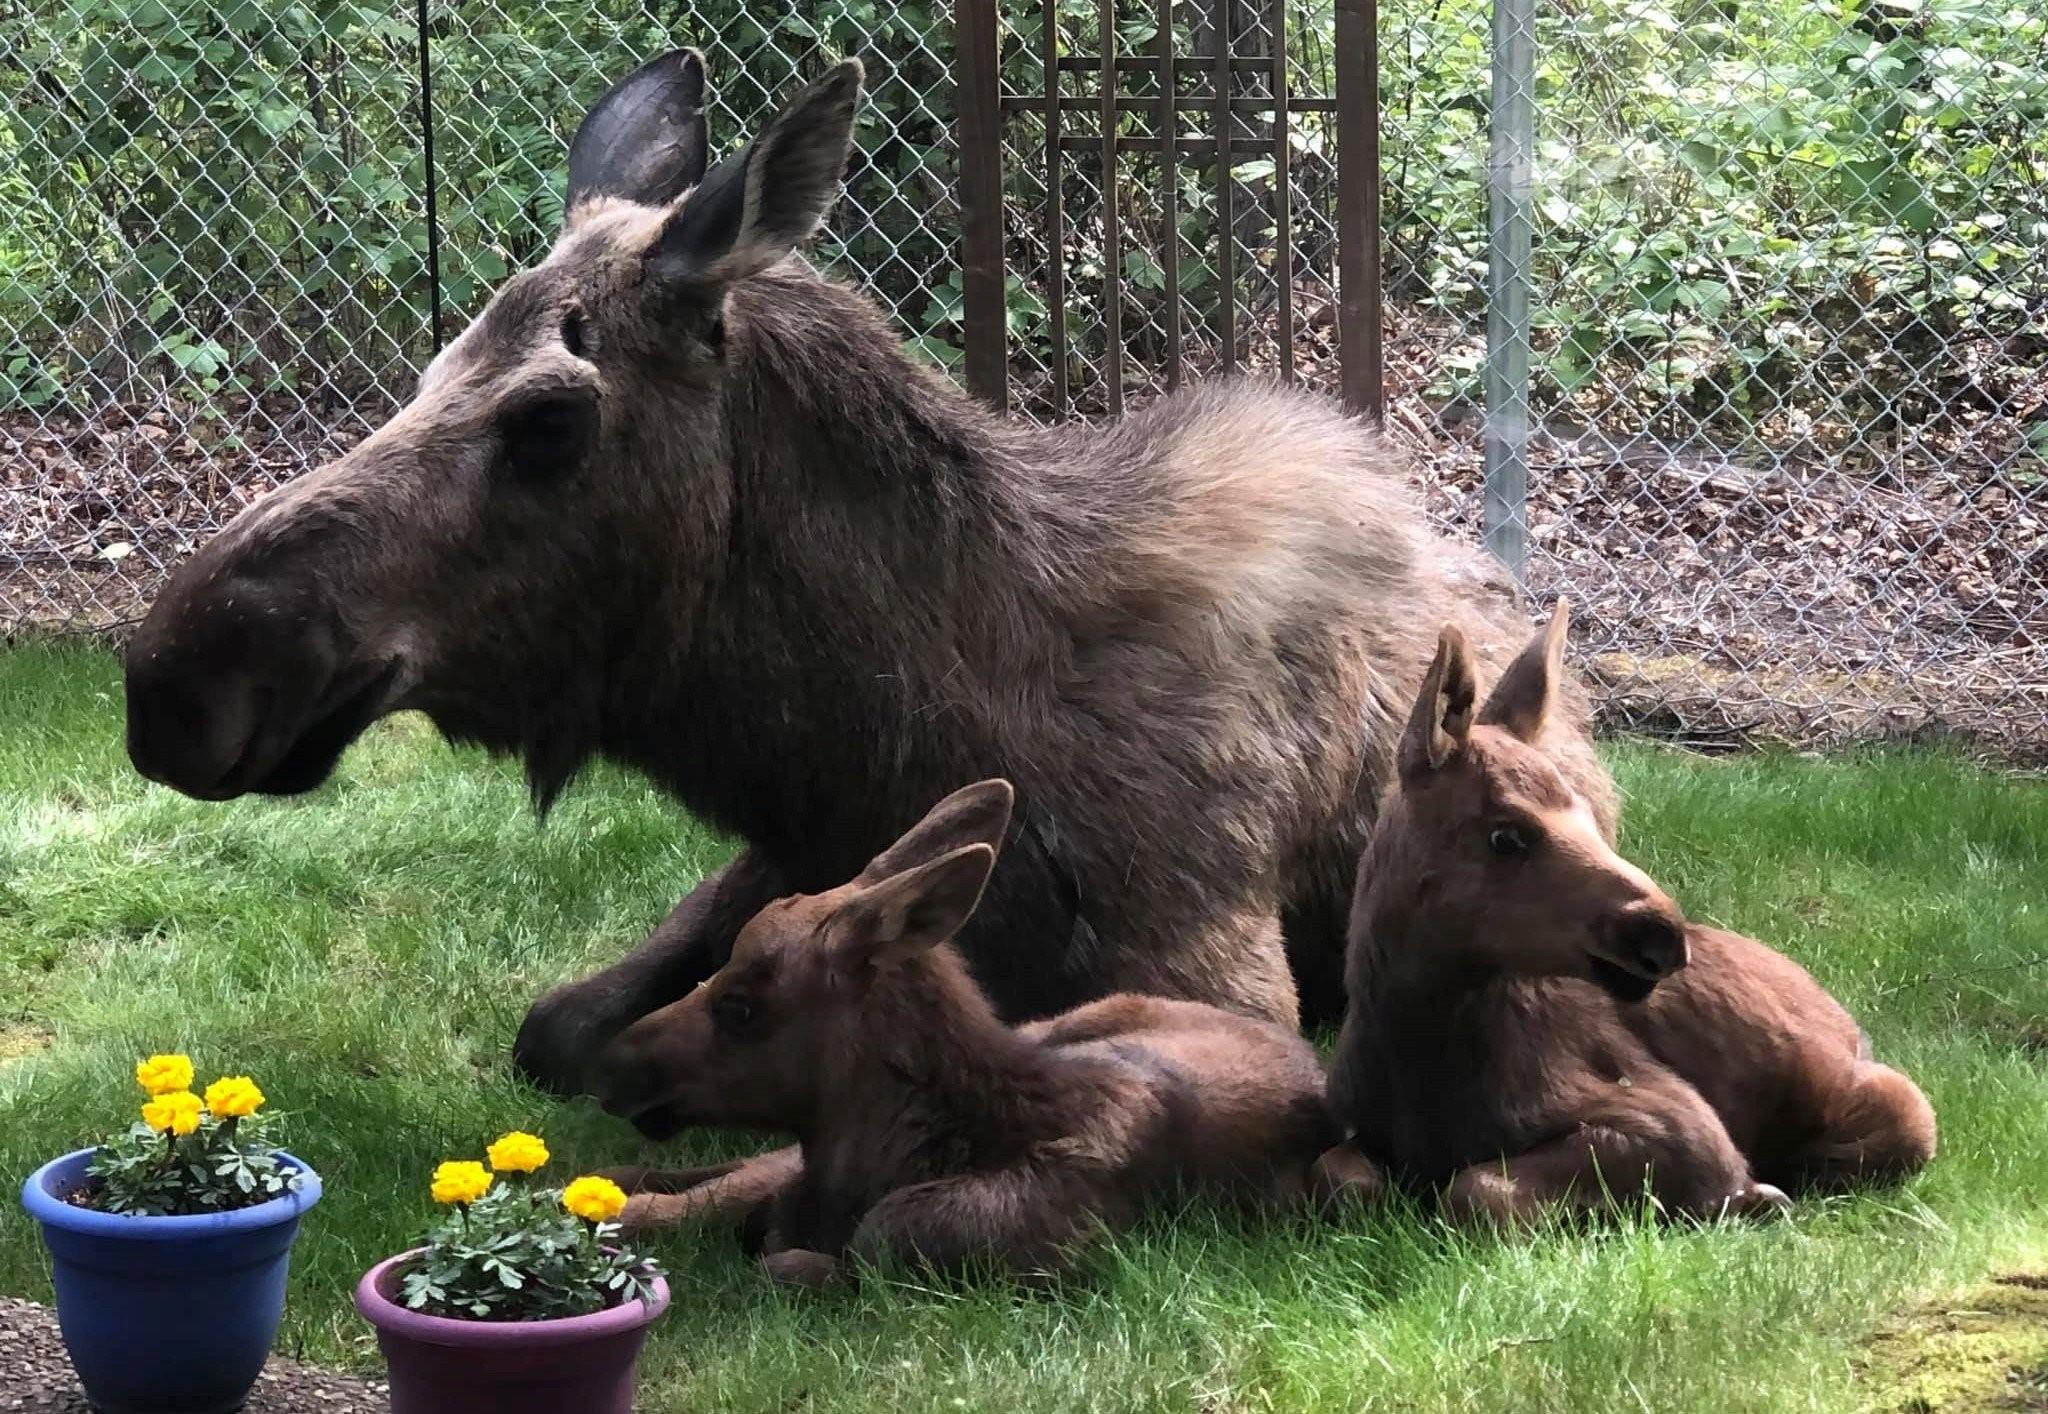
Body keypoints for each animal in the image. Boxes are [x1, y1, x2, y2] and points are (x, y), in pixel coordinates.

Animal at [119, 41, 1613, 1082]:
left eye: (548, 419)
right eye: (430, 369)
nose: (178, 676)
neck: (885, 728)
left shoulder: (1215, 965)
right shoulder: (780, 850)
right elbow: (558, 1027)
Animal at [1310, 598, 1933, 1213]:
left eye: (1590, 815)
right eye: (1505, 836)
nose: (1663, 936)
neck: (1416, 1044)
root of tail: (1849, 1025)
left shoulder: (1683, 1127)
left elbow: (1474, 1190)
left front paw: (1759, 1198)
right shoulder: (1352, 1134)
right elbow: (1341, 1177)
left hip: (1902, 1109)